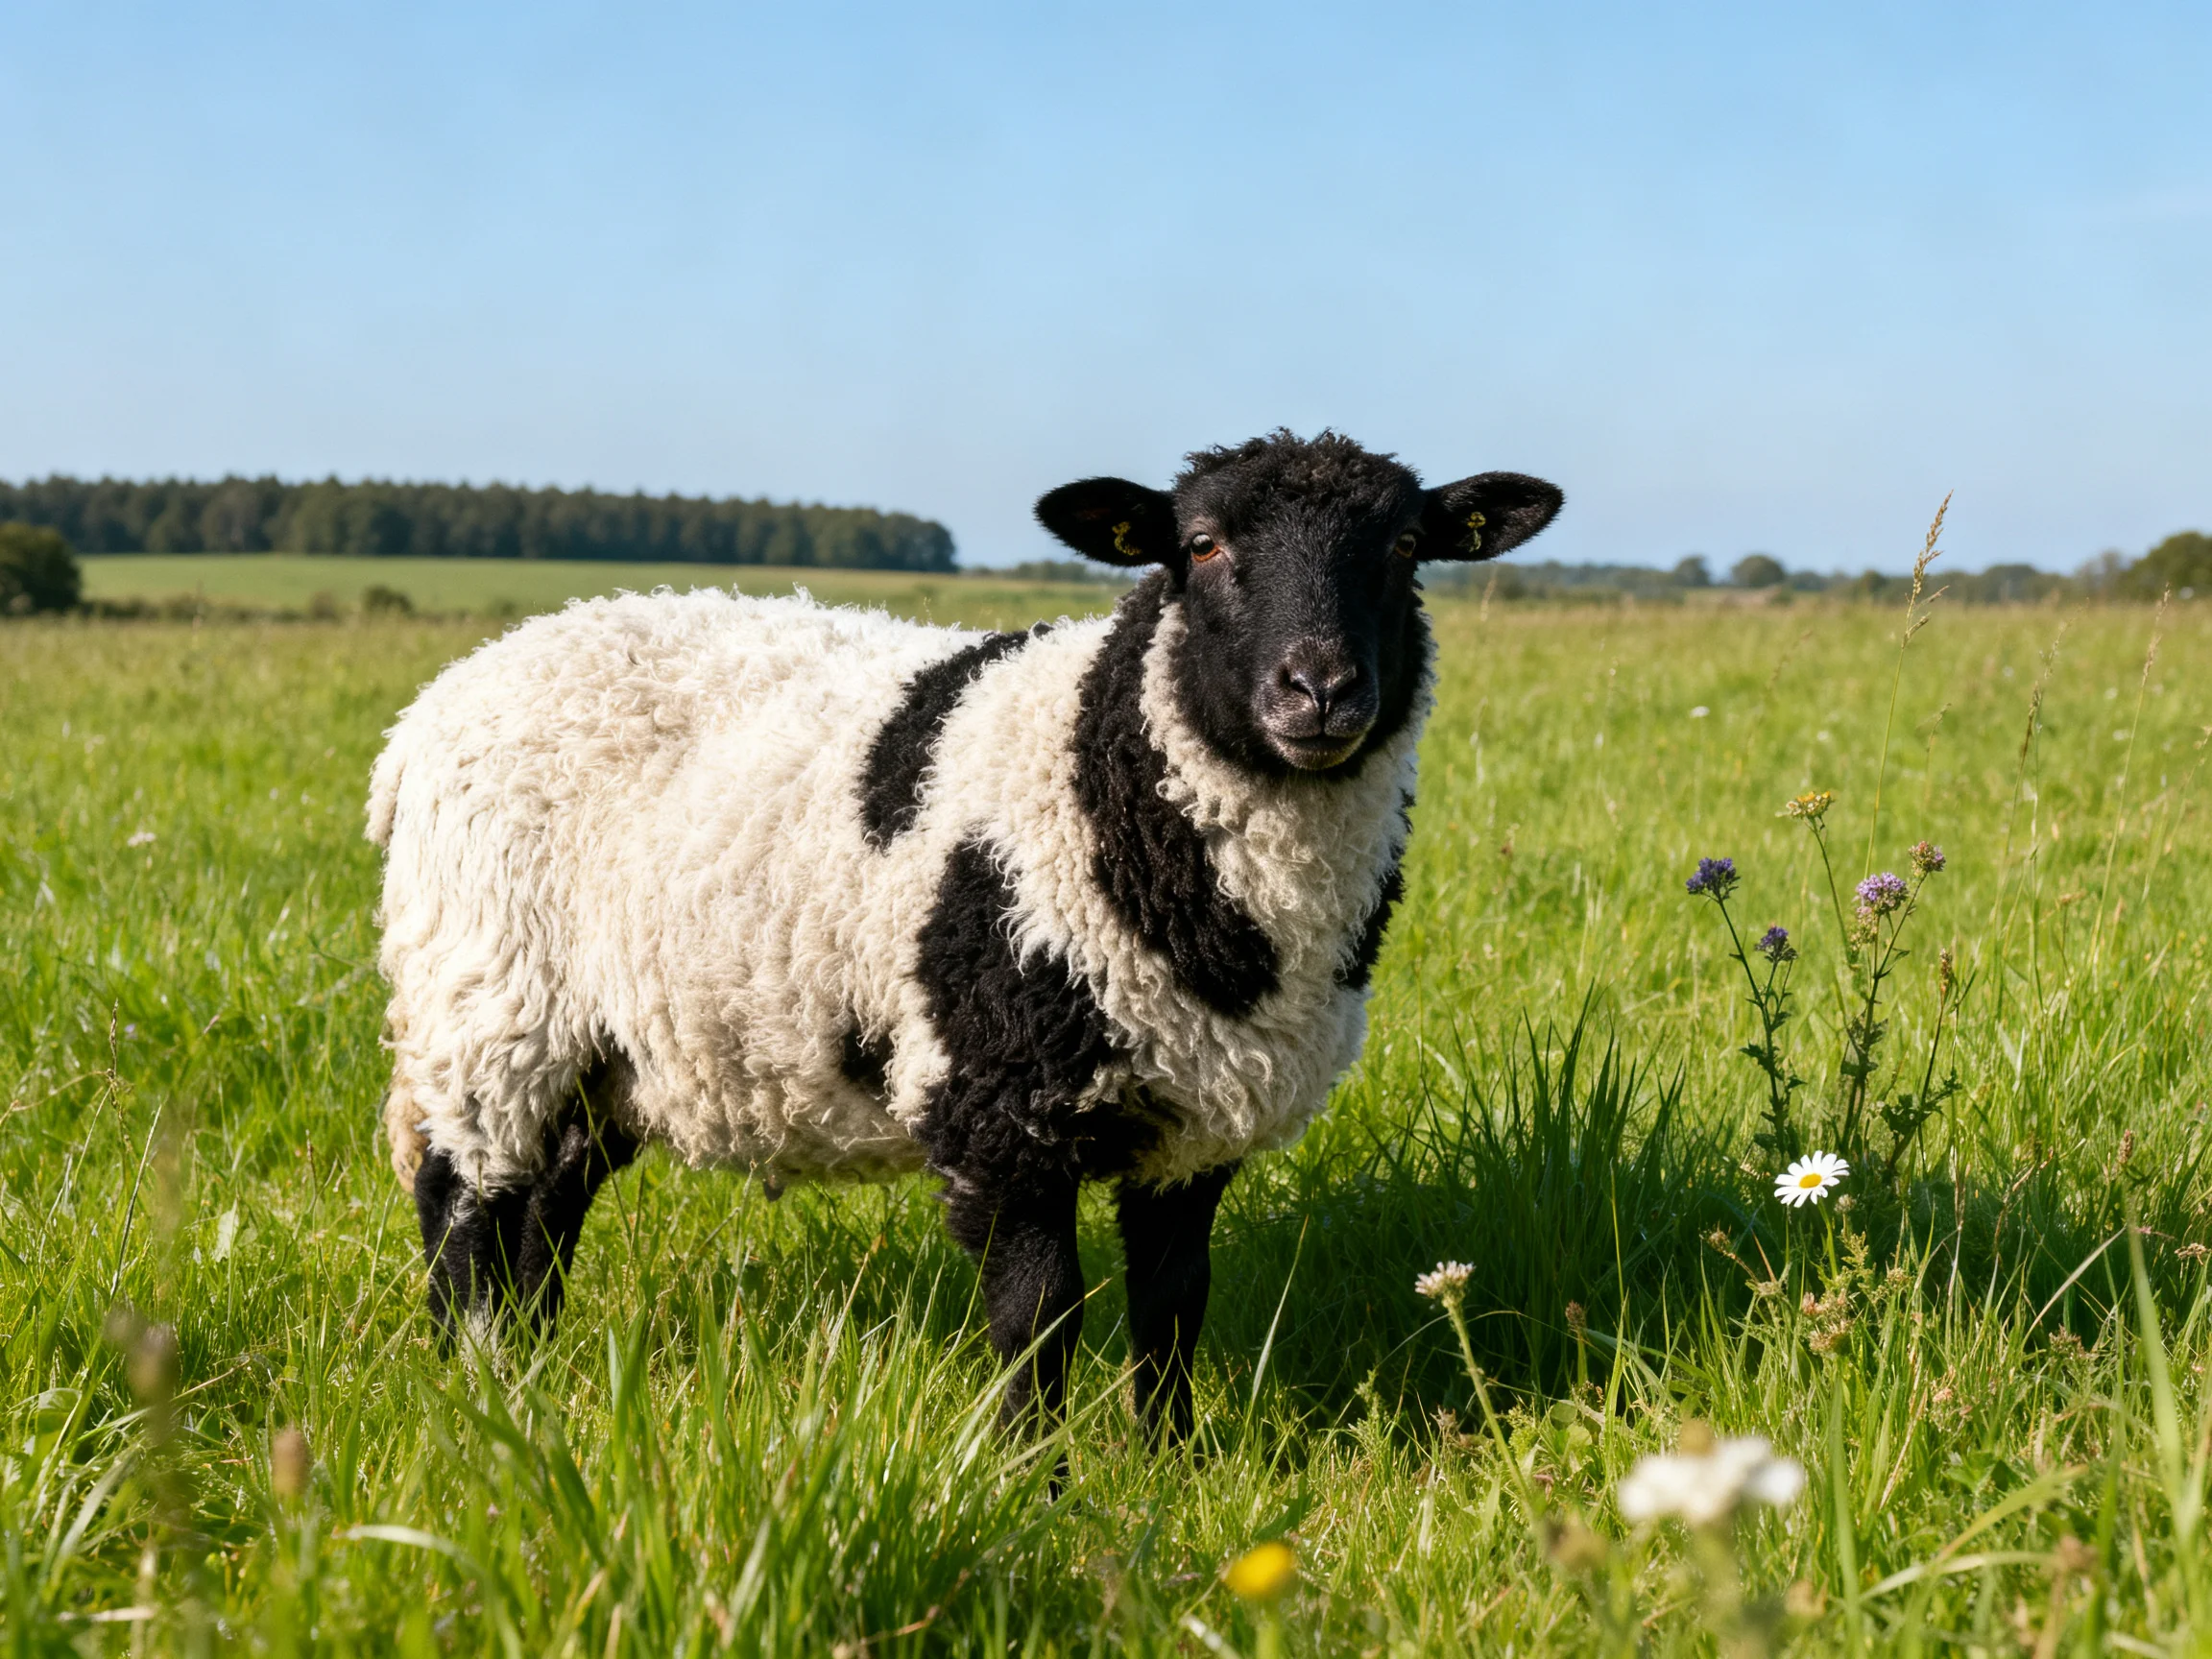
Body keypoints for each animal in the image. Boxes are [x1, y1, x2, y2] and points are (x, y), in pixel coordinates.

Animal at [369, 430, 1563, 1437]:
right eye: (1202, 545)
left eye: (1405, 547)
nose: (1317, 690)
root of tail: (439, 700)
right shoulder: (1001, 1101)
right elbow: (1039, 1314)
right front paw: (1038, 1481)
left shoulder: (1199, 1113)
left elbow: (1174, 1300)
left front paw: (1172, 1465)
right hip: (485, 993)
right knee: (463, 1198)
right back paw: (474, 1384)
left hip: (609, 1040)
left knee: (547, 1195)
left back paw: (528, 1375)